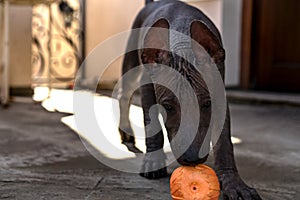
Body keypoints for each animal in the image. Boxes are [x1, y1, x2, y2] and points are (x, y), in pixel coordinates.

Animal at [116, 0, 262, 199]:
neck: (182, 43)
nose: (192, 159)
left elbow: (224, 141)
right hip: (131, 61)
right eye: (167, 107)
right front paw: (154, 161)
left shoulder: (219, 93)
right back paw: (125, 130)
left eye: (207, 104)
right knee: (124, 93)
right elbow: (152, 124)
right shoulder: (148, 87)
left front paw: (233, 182)